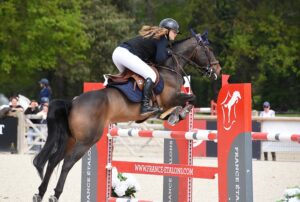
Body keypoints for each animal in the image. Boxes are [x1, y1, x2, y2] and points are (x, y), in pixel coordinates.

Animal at [32, 30, 221, 202]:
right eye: (208, 49)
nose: (217, 69)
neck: (169, 68)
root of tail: (72, 103)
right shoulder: (171, 98)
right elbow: (191, 98)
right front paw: (179, 114)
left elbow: (179, 105)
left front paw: (172, 115)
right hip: (87, 140)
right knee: (67, 163)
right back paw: (55, 195)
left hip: (71, 139)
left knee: (53, 161)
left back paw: (40, 193)